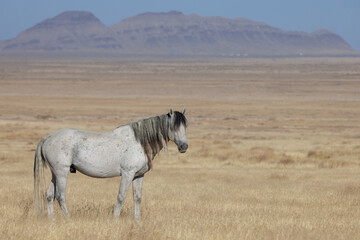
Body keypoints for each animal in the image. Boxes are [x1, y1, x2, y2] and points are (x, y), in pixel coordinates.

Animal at [33, 109, 188, 218]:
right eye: (173, 127)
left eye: (185, 127)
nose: (184, 147)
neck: (139, 142)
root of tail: (47, 138)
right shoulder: (127, 174)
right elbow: (121, 196)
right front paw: (115, 218)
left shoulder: (139, 175)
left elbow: (137, 198)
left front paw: (137, 220)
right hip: (62, 173)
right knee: (60, 196)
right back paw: (68, 218)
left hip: (55, 174)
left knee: (49, 194)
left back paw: (52, 219)